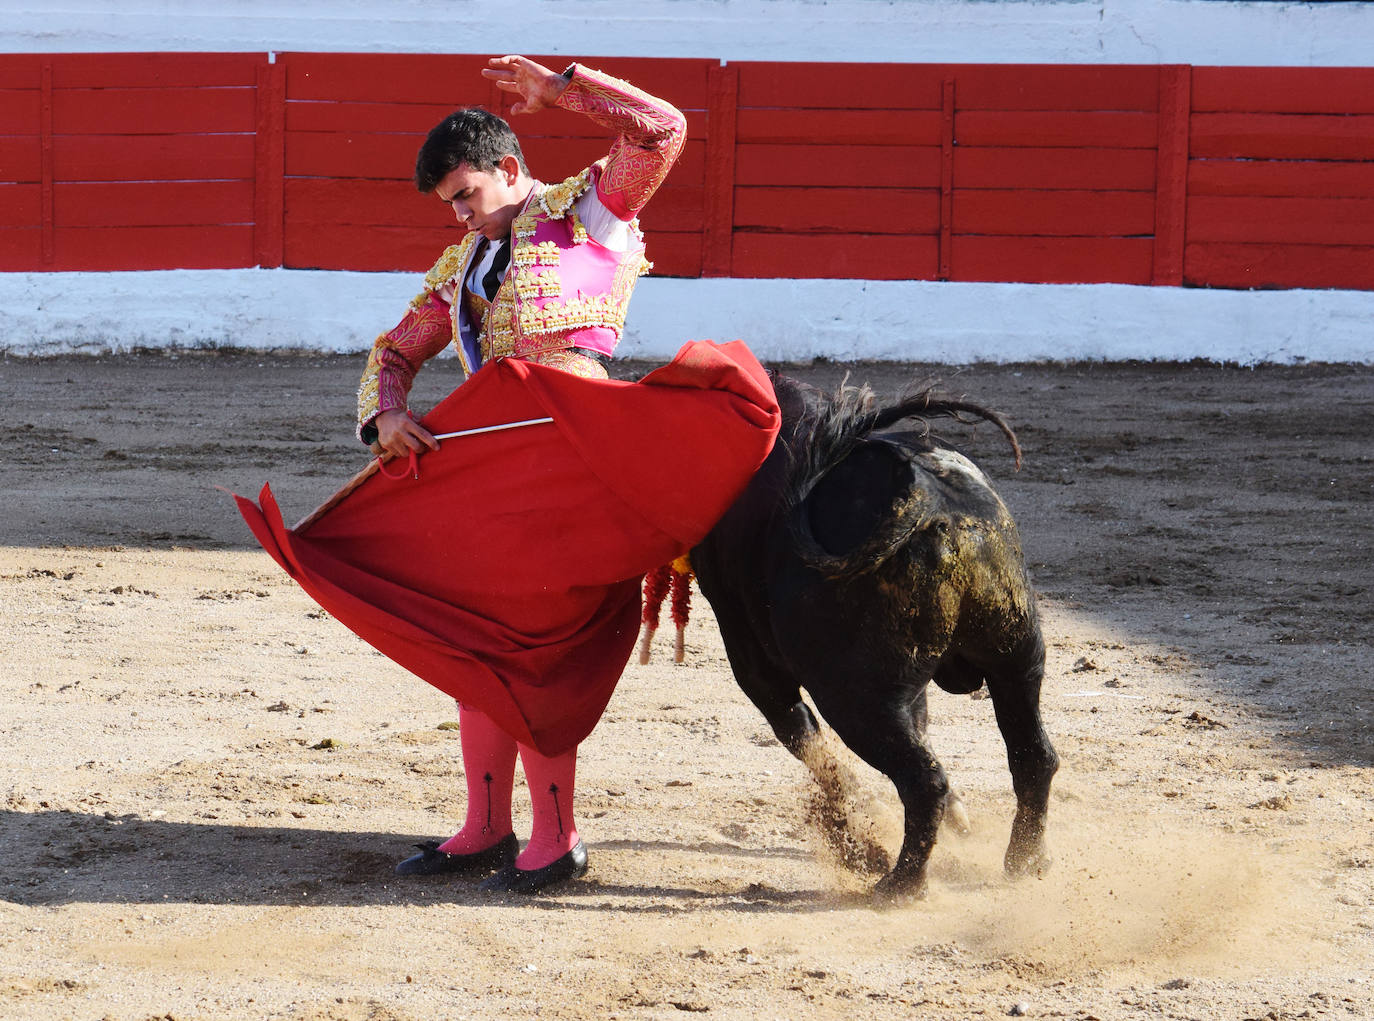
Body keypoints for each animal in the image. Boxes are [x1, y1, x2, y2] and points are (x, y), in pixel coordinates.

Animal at [692, 376, 1055, 901]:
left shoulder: (751, 653)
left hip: (857, 697)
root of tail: (930, 502)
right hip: (1017, 656)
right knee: (1033, 756)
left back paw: (899, 884)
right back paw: (1026, 861)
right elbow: (918, 727)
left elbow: (806, 741)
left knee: (923, 779)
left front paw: (856, 842)